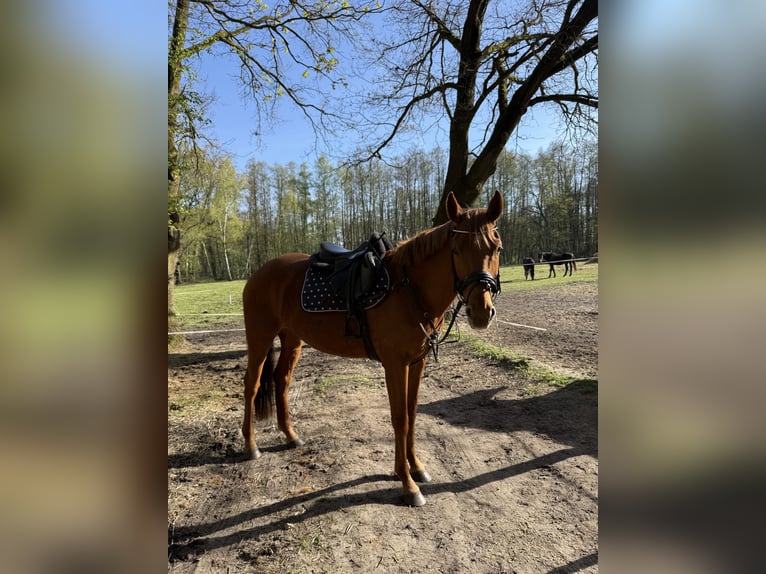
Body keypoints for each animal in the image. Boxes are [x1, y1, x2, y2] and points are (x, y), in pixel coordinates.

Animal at [241, 191, 504, 507]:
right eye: (456, 250)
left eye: (497, 248)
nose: (481, 313)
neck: (409, 289)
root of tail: (258, 273)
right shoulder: (395, 365)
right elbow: (400, 419)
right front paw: (407, 484)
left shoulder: (417, 363)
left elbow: (413, 414)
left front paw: (416, 467)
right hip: (260, 338)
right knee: (252, 385)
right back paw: (251, 446)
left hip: (292, 339)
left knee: (282, 380)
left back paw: (291, 436)